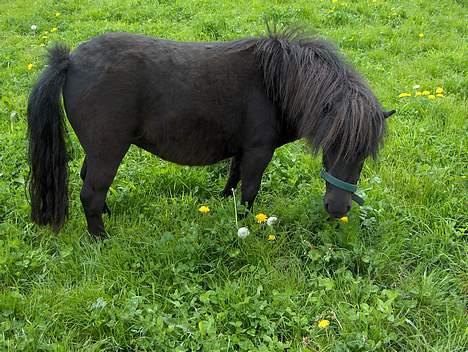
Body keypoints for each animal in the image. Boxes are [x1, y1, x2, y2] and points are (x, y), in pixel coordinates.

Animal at [27, 26, 394, 236]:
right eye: (331, 145)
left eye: (364, 154)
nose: (338, 210)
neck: (275, 84)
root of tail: (69, 61)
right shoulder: (259, 152)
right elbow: (249, 191)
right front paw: (245, 225)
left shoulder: (243, 150)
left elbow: (232, 180)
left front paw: (223, 207)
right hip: (109, 150)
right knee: (90, 192)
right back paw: (101, 238)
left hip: (98, 150)